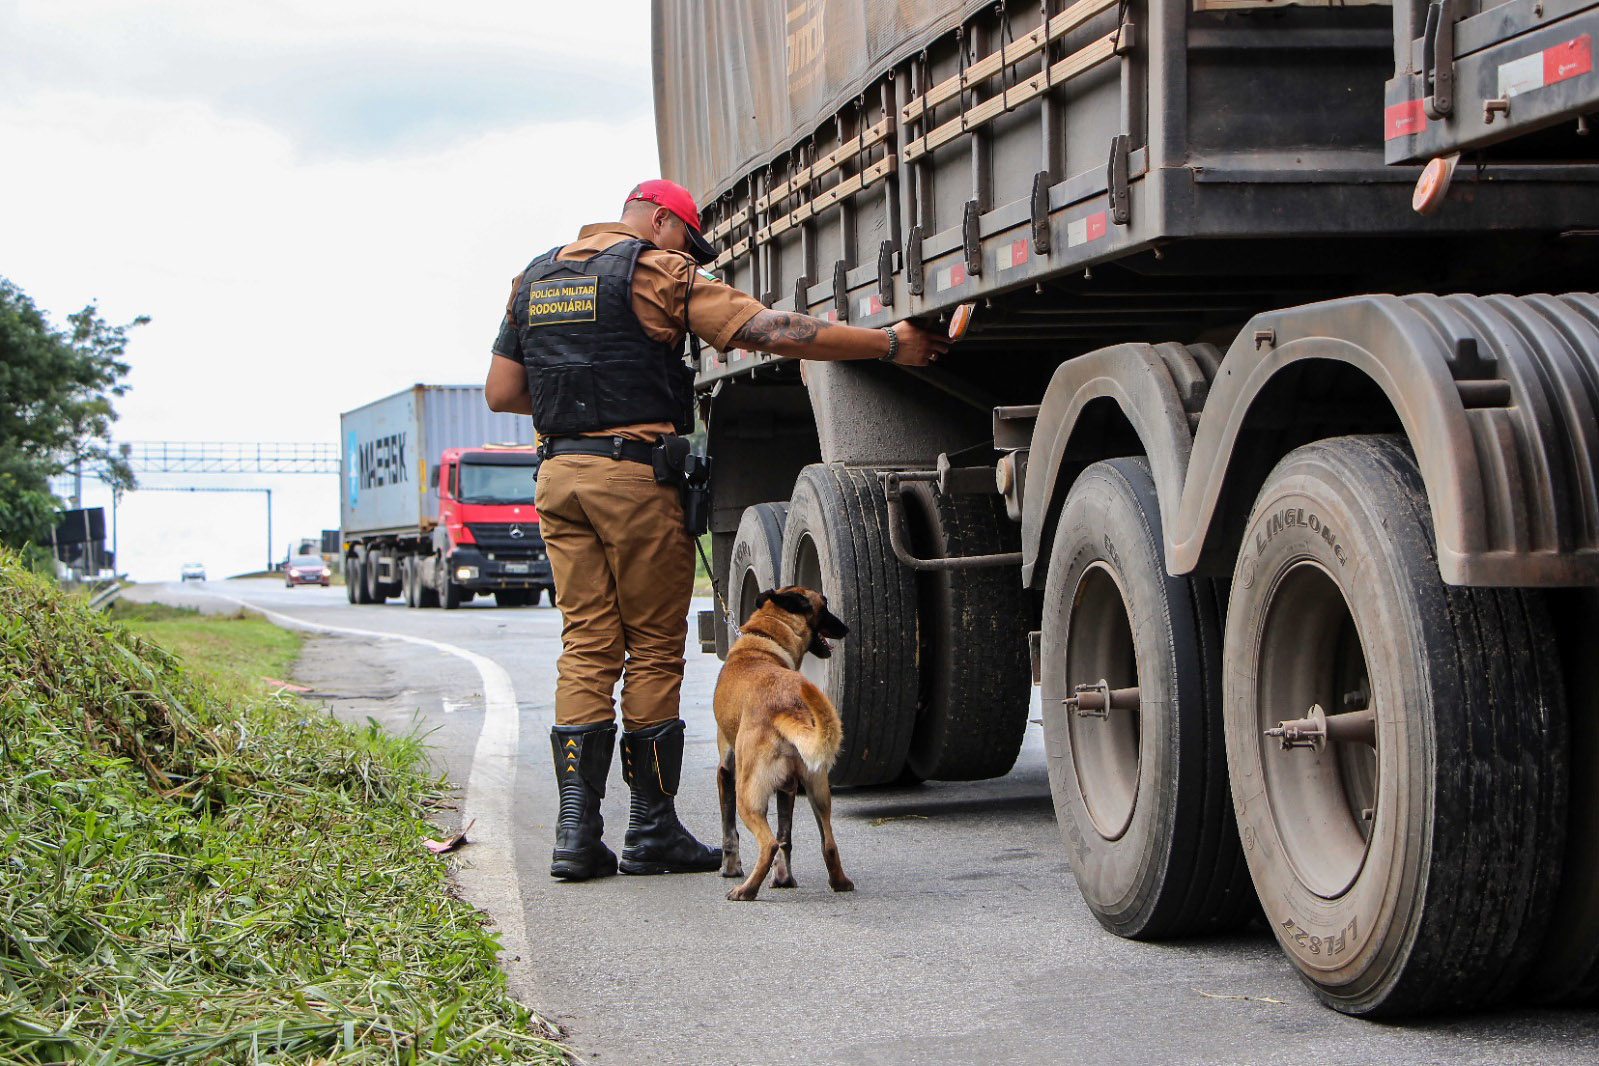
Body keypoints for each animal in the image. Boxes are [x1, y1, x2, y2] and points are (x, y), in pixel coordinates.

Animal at [716, 584, 857, 901]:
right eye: (824, 605)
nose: (846, 628)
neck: (763, 638)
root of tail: (787, 705)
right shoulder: (788, 786)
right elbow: (786, 835)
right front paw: (783, 877)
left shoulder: (726, 771)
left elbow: (729, 830)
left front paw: (730, 868)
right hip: (817, 789)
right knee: (826, 844)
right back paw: (837, 882)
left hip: (748, 795)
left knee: (768, 843)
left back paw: (746, 889)